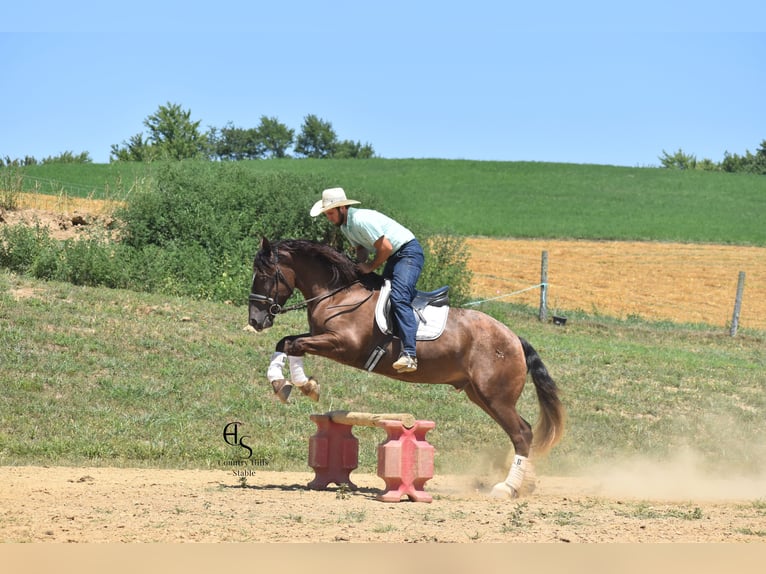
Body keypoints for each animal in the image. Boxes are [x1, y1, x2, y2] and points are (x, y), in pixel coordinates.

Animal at [248, 237, 565, 498]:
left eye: (263, 276)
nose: (255, 320)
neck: (338, 295)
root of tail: (514, 338)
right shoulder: (321, 338)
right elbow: (286, 343)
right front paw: (289, 385)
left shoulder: (342, 345)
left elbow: (293, 345)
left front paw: (299, 385)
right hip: (480, 395)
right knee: (523, 430)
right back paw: (525, 484)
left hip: (495, 396)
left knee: (522, 433)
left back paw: (507, 488)